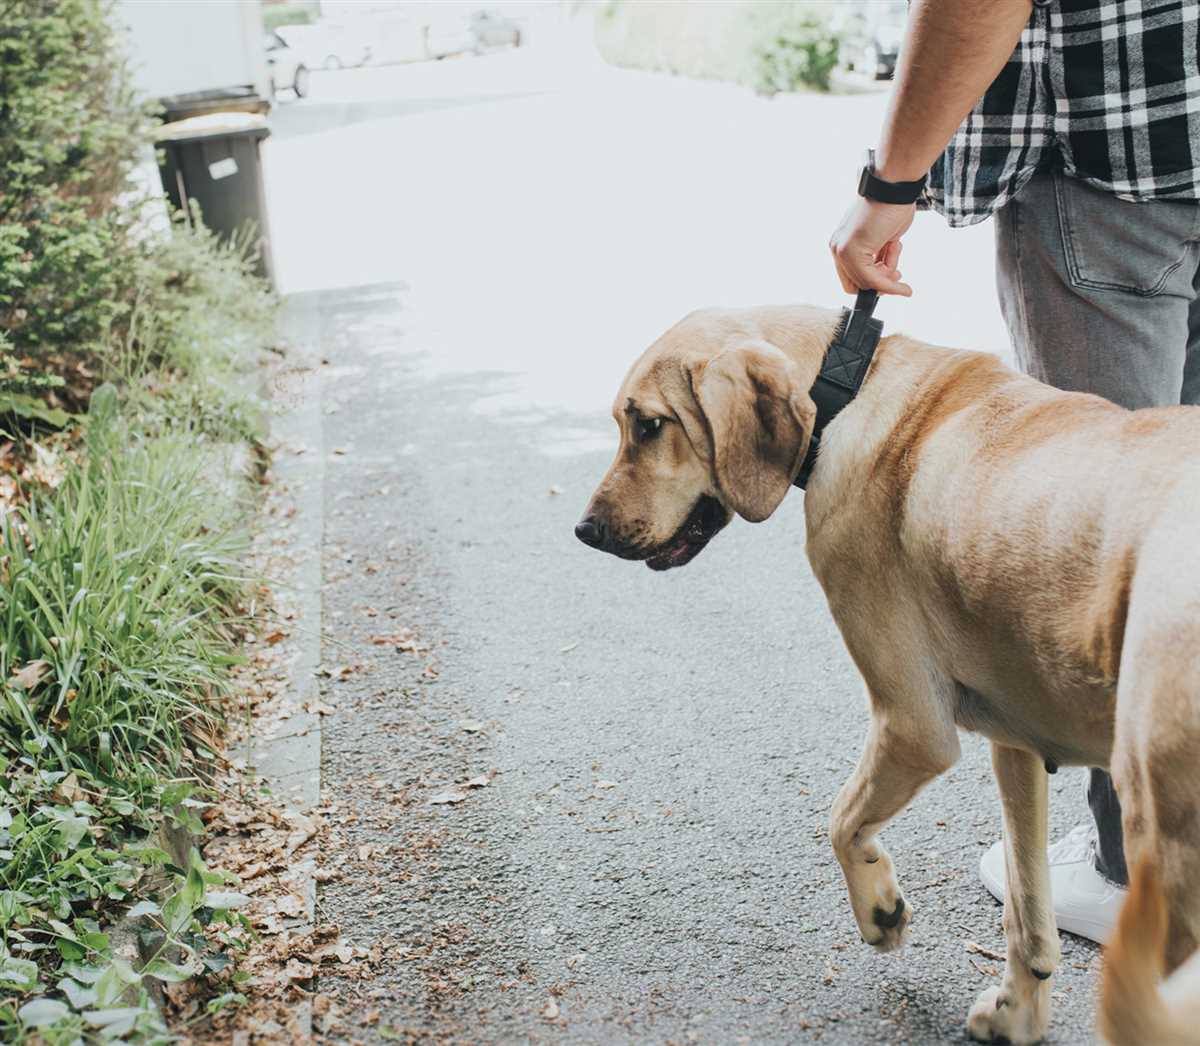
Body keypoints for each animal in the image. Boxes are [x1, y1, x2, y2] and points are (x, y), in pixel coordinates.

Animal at [573, 304, 1200, 1046]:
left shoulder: (911, 725)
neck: (849, 389)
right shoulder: (1015, 746)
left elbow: (841, 819)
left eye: (648, 425)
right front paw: (1019, 1010)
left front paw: (880, 911)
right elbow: (1026, 908)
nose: (584, 530)